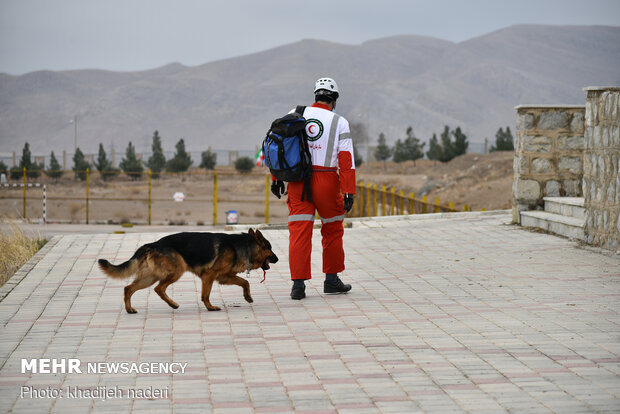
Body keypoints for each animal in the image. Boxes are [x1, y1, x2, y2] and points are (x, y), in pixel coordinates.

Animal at [97, 230, 278, 314]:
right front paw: (210, 307)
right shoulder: (210, 276)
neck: (244, 246)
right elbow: (206, 295)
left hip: (150, 277)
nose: (277, 259)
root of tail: (153, 244)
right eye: (270, 248)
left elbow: (244, 282)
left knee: (128, 288)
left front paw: (247, 297)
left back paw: (130, 309)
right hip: (177, 271)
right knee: (158, 288)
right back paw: (173, 304)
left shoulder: (224, 277)